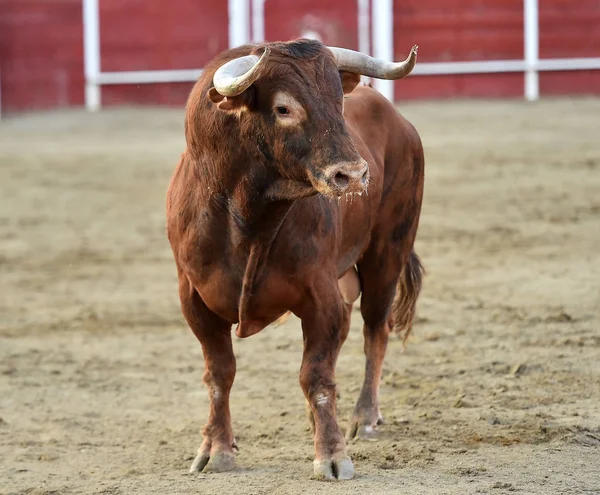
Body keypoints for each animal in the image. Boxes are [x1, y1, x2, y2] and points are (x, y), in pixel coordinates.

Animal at [166, 38, 424, 480]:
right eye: (284, 108)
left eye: (339, 100)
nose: (353, 175)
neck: (246, 215)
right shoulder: (194, 300)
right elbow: (219, 374)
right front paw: (216, 449)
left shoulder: (321, 297)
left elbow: (316, 376)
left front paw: (332, 455)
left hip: (388, 254)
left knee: (376, 330)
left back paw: (364, 417)